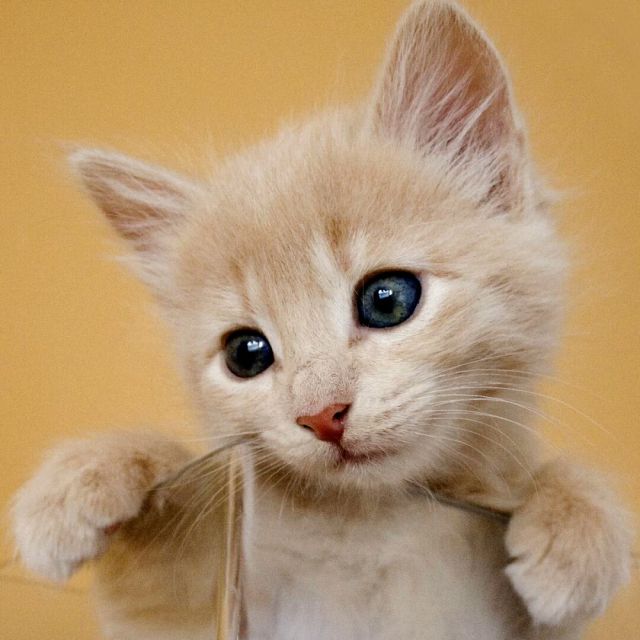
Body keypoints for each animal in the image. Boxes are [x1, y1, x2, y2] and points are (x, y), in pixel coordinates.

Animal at [11, 1, 633, 639]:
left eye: (387, 300)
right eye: (246, 353)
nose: (321, 415)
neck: (370, 522)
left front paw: (578, 524)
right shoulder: (194, 600)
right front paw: (79, 480)